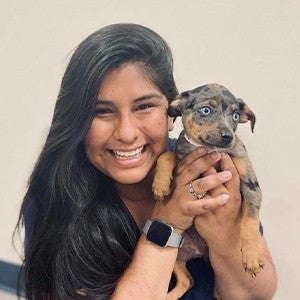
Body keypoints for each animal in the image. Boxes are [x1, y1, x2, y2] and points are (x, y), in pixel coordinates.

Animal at [152, 83, 264, 298]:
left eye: (235, 116)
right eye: (206, 110)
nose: (228, 137)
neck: (211, 149)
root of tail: (198, 252)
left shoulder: (251, 185)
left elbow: (250, 222)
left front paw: (252, 256)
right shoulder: (183, 162)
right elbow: (167, 155)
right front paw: (160, 185)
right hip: (175, 254)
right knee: (188, 281)